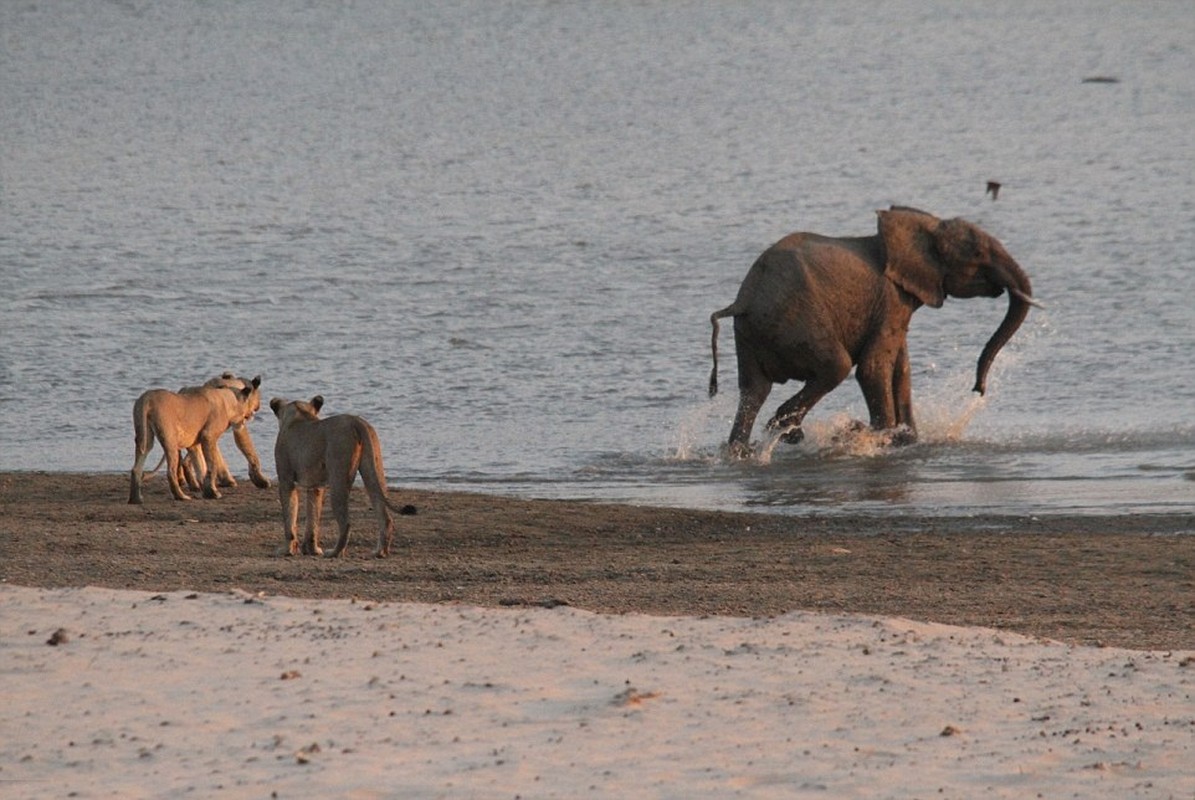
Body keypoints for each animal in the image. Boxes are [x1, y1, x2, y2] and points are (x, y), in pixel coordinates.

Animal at [272, 397, 415, 559]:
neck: (299, 414)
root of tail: (356, 421)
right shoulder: (316, 487)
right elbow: (313, 518)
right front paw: (312, 549)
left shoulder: (286, 480)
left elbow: (290, 518)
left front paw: (286, 550)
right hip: (373, 472)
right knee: (385, 517)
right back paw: (379, 552)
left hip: (338, 476)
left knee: (346, 523)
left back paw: (335, 552)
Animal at [707, 205, 1037, 454]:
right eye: (978, 254)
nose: (978, 389)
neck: (919, 227)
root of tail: (743, 300)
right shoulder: (890, 299)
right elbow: (873, 367)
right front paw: (881, 437)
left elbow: (901, 369)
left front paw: (907, 439)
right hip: (795, 322)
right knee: (835, 366)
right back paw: (786, 431)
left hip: (750, 334)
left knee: (753, 389)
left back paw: (741, 451)